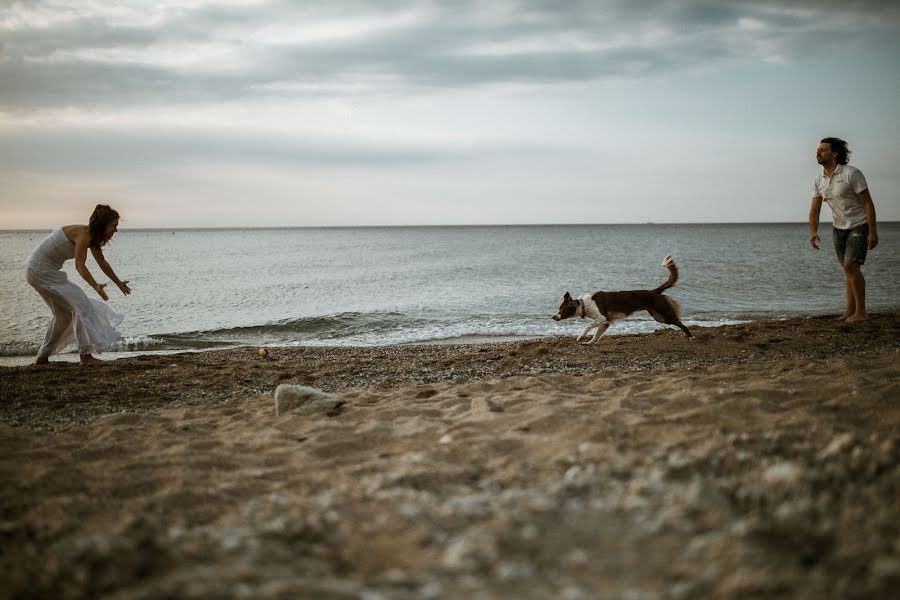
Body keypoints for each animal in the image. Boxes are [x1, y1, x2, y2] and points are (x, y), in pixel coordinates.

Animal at [552, 254, 692, 346]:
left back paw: (691, 337)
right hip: (658, 316)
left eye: (561, 309)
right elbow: (597, 335)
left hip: (664, 315)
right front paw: (589, 342)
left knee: (682, 324)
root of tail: (654, 291)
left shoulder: (602, 317)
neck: (584, 304)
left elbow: (588, 325)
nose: (553, 317)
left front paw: (581, 336)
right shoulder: (605, 322)